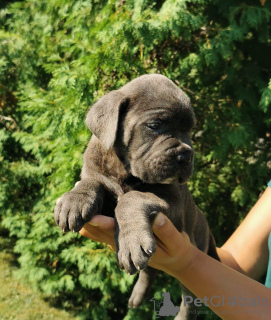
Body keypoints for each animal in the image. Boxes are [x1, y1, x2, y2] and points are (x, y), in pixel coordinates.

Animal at [54, 74, 220, 318]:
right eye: (155, 126)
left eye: (190, 130)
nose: (186, 156)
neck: (124, 170)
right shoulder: (98, 176)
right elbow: (91, 181)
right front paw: (74, 199)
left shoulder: (173, 204)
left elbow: (131, 198)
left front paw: (131, 240)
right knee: (149, 271)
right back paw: (137, 297)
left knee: (190, 298)